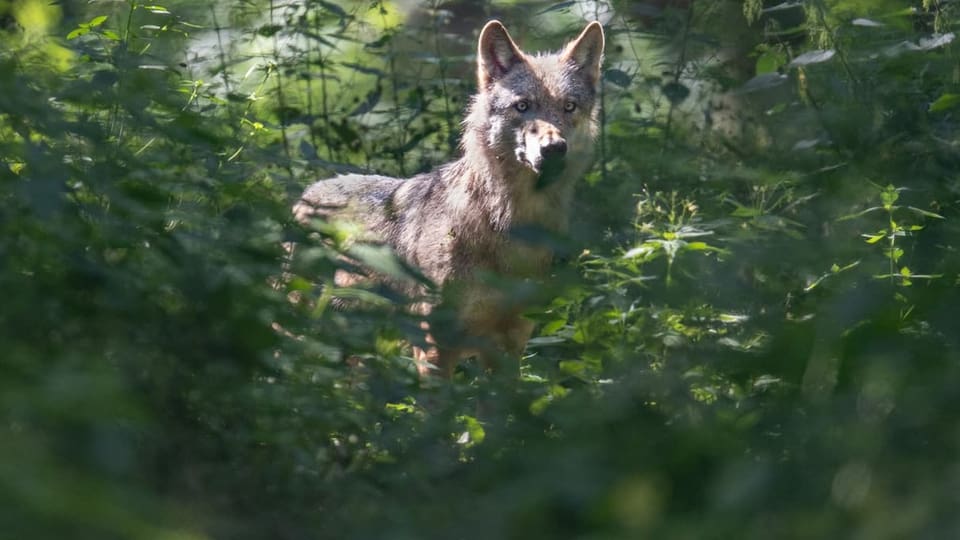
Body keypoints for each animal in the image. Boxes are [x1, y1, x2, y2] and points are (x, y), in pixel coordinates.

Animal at [294, 20, 608, 376]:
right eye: (522, 106)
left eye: (569, 106)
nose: (554, 149)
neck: (508, 228)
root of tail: (305, 194)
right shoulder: (434, 347)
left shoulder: (508, 349)